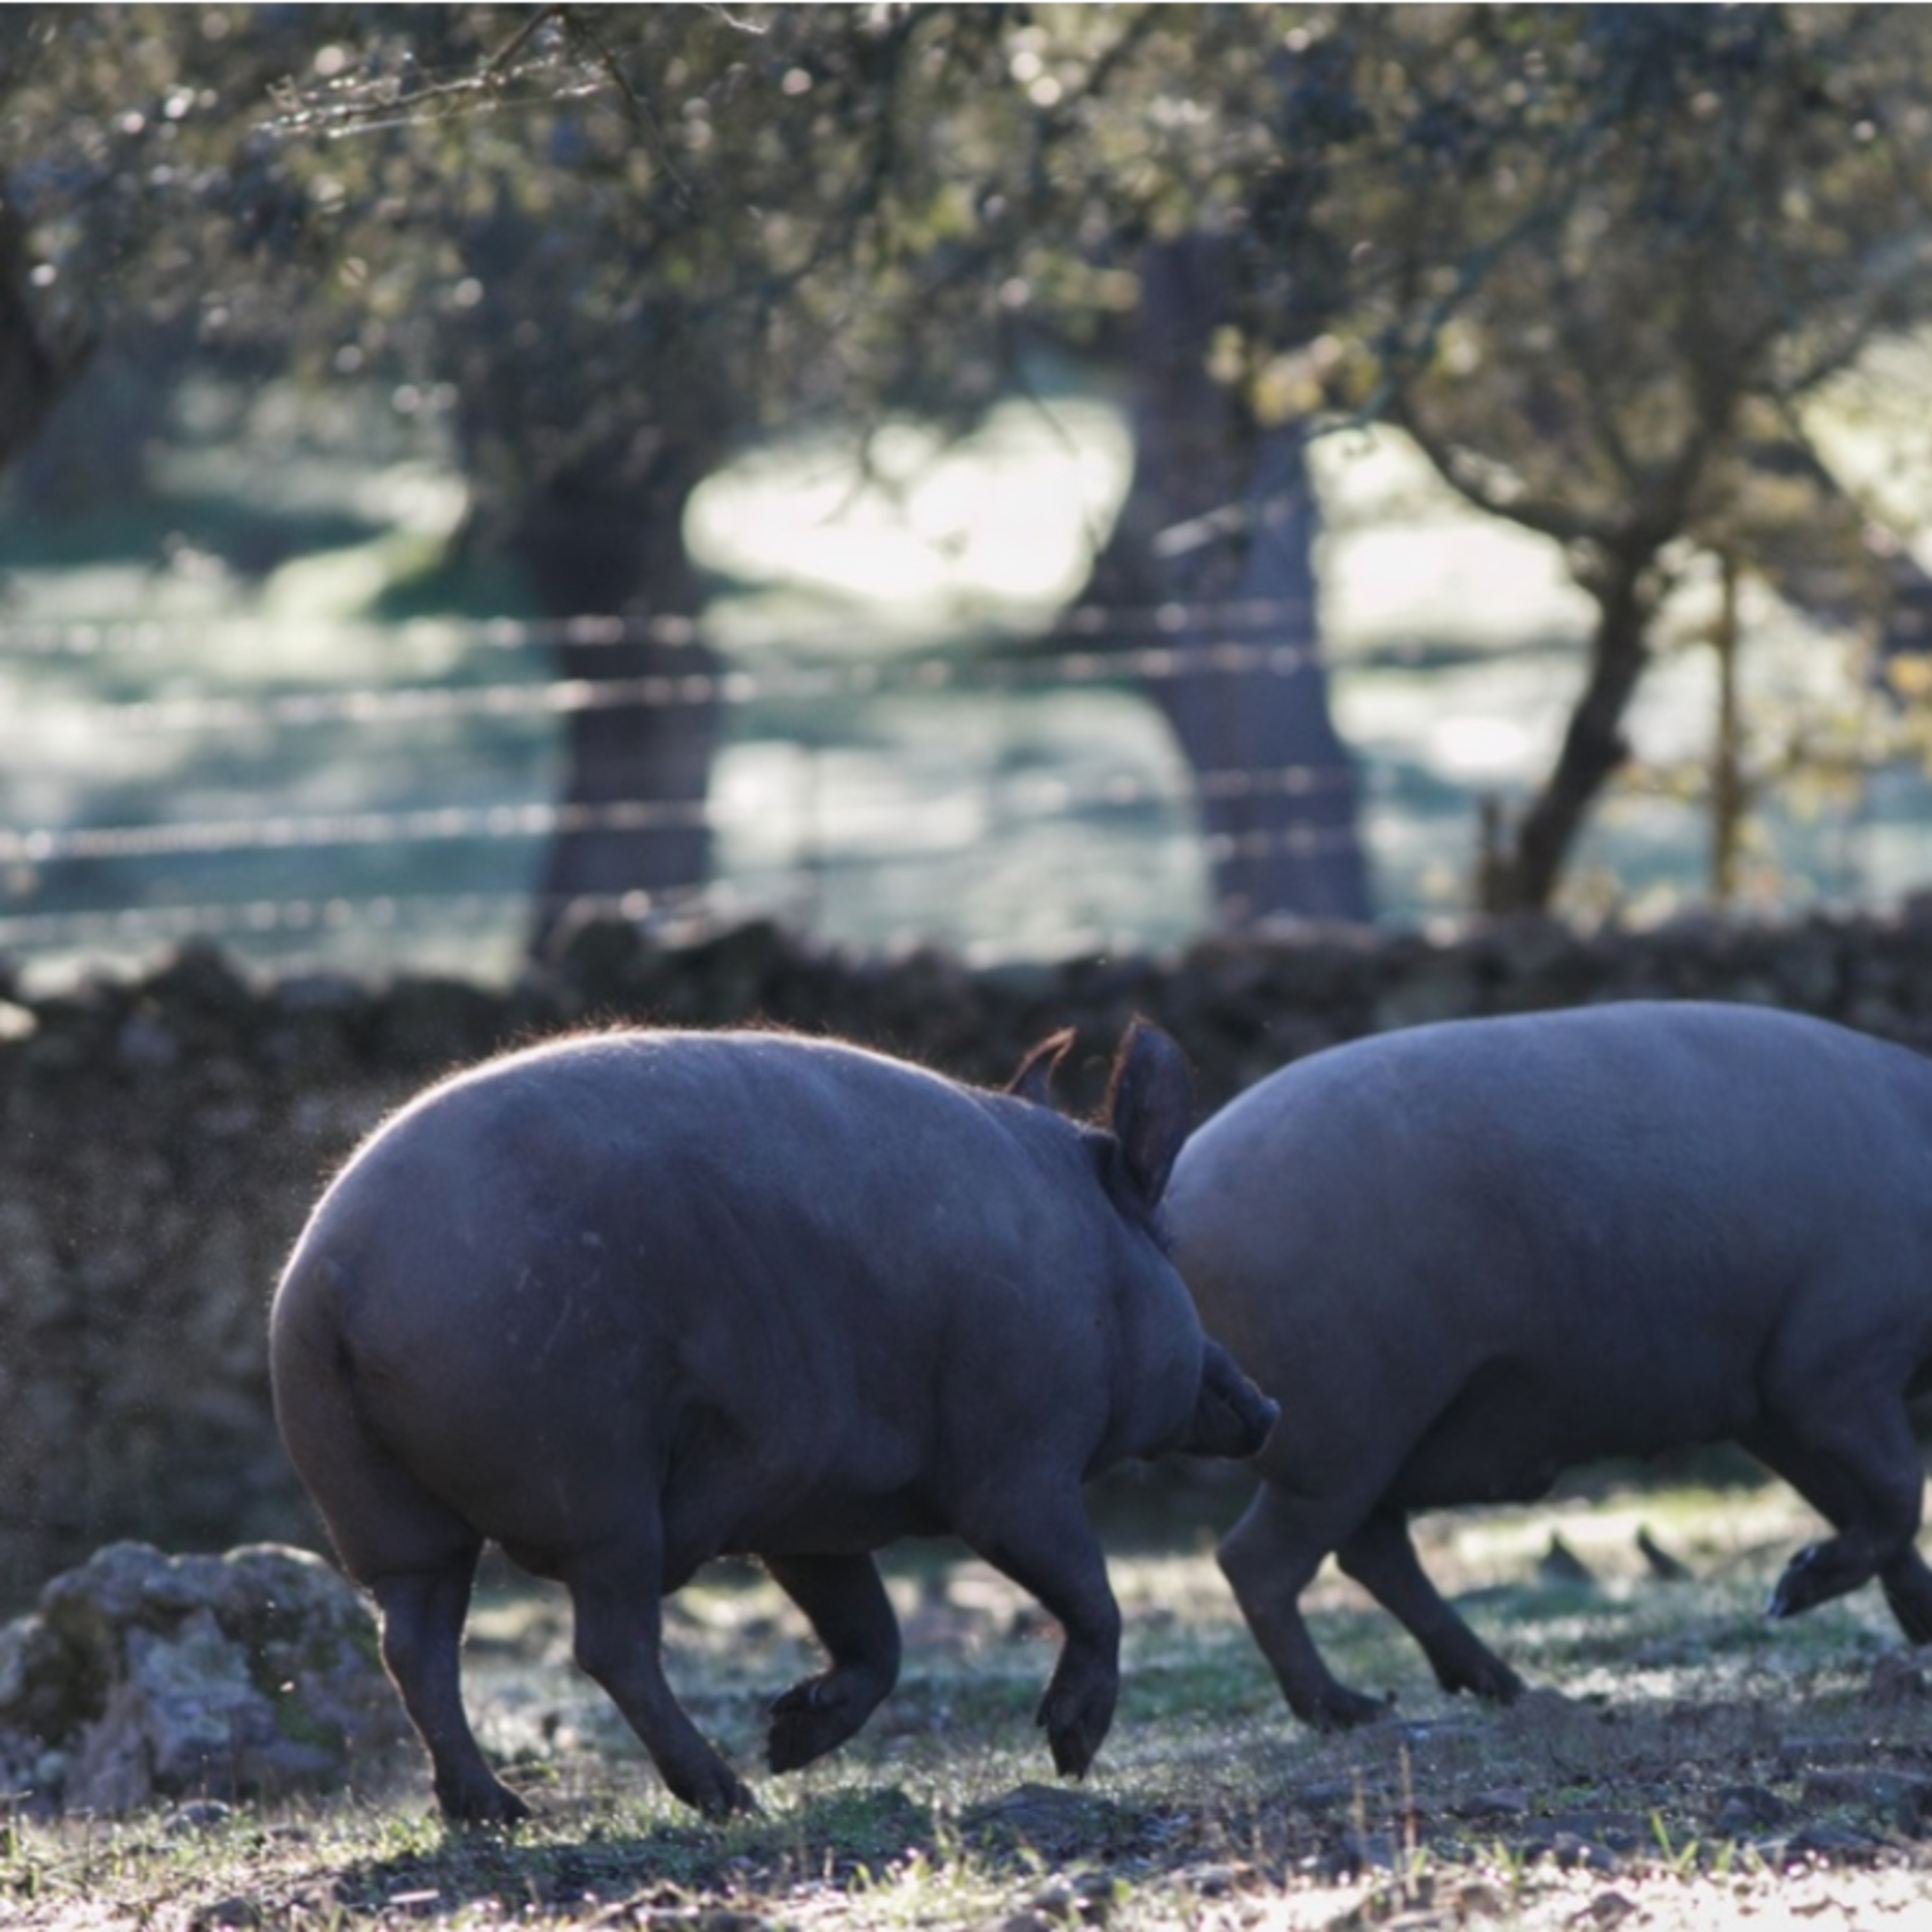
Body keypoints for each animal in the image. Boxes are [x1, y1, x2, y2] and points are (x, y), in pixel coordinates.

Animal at [269, 1021, 1277, 1824]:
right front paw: (1069, 1756)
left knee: (415, 1643)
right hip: (590, 1483)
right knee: (607, 1644)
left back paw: (497, 1811)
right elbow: (1088, 1594)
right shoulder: (1016, 1468)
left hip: (380, 1508)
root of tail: (334, 1277)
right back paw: (726, 1796)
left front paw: (790, 1737)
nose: (1265, 1407)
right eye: (1167, 1243)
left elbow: (876, 1636)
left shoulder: (810, 1516)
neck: (1088, 1262)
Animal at [1162, 1000, 1932, 1729]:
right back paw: (1355, 1711)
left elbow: (1863, 1505)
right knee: (1259, 1562)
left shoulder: (1768, 1410)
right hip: (1341, 1433)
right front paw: (1790, 1593)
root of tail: (1174, 1206)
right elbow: (1900, 1491)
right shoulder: (1830, 1372)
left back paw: (1504, 1687)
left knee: (1371, 1551)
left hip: (1375, 1444)